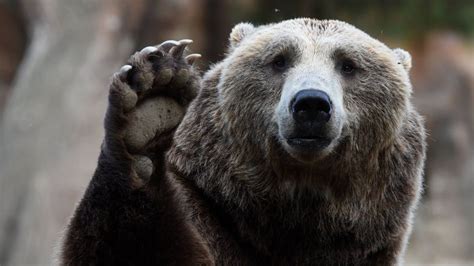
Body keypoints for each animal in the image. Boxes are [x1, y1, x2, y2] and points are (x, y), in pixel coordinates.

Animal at [60, 17, 426, 264]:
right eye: (279, 60)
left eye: (348, 65)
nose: (311, 104)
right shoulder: (208, 213)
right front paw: (151, 101)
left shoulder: (368, 248)